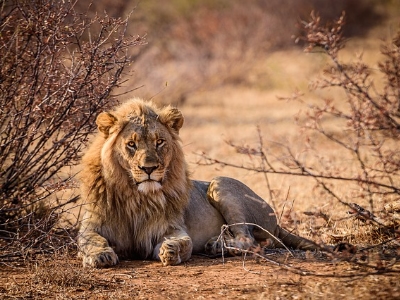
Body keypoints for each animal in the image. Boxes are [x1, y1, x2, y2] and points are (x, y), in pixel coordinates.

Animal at [78, 98, 318, 268]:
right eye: (131, 144)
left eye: (159, 142)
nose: (149, 169)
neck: (136, 196)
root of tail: (276, 223)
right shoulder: (92, 225)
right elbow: (90, 240)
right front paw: (101, 256)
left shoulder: (170, 227)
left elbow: (185, 242)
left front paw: (171, 250)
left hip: (220, 184)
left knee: (249, 240)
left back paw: (218, 245)